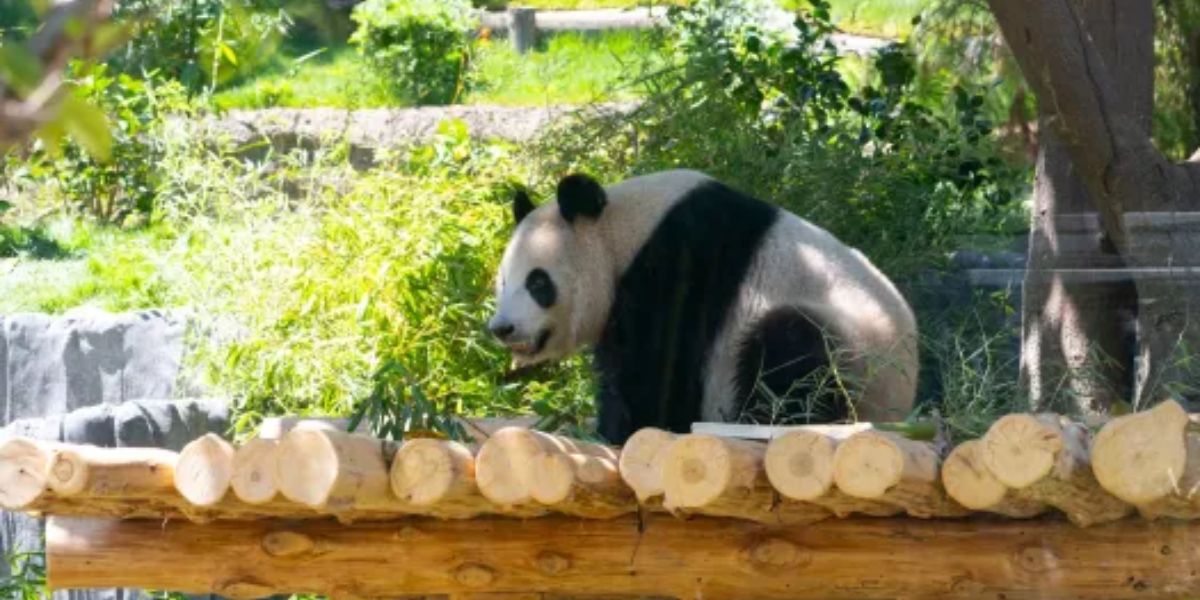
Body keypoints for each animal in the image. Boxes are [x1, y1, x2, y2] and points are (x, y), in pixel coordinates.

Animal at [487, 169, 916, 446]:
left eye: (538, 283)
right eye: (504, 281)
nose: (502, 328)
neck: (620, 230)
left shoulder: (676, 261)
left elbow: (655, 367)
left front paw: (612, 432)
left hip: (856, 346)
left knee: (795, 355)